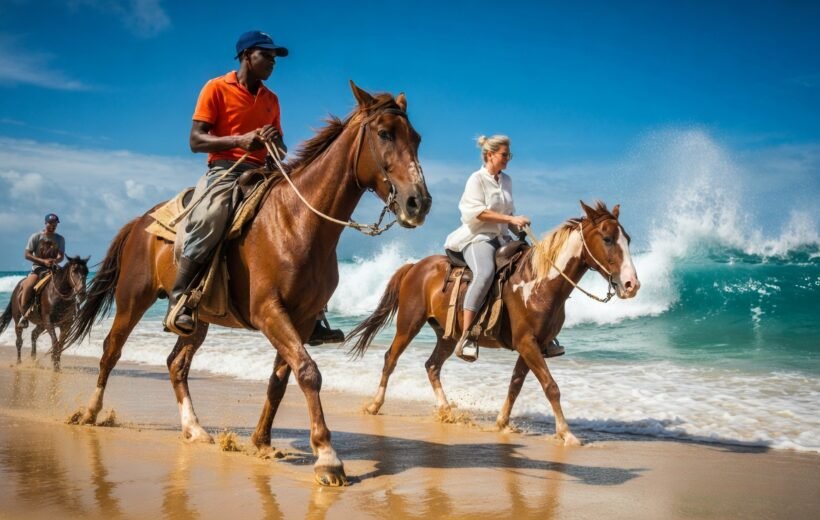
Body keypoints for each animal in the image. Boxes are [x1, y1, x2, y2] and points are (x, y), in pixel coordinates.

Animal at [61, 82, 431, 486]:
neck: (298, 222)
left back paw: (194, 429)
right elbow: (308, 372)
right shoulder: (269, 312)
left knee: (177, 363)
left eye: (416, 138)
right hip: (132, 299)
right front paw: (327, 457)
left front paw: (262, 442)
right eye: (384, 134)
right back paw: (90, 413)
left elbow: (281, 379)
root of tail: (139, 221)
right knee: (111, 351)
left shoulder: (301, 320)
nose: (419, 202)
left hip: (197, 318)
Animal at [345, 201, 639, 446]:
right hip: (409, 324)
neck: (541, 283)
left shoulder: (533, 345)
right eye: (607, 238)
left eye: (627, 239)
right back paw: (374, 405)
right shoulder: (527, 343)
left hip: (448, 335)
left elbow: (516, 384)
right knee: (391, 358)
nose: (631, 285)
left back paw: (447, 411)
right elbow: (551, 387)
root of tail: (415, 266)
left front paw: (502, 423)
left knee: (432, 366)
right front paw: (566, 434)